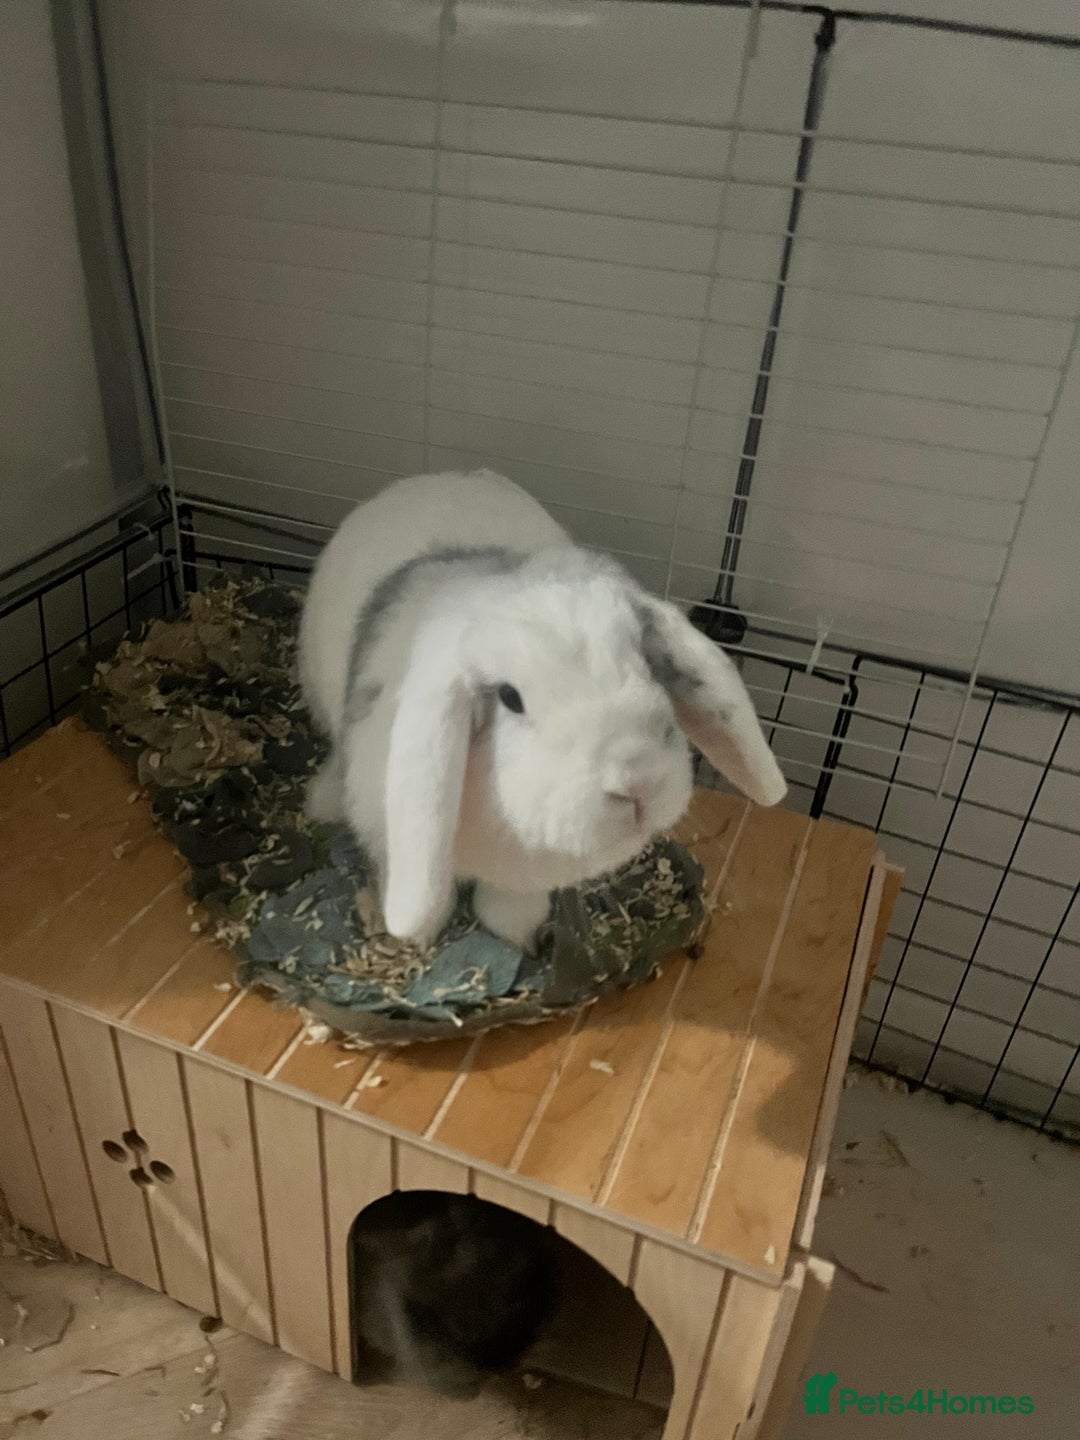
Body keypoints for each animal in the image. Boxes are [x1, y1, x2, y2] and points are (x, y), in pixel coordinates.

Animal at [298, 468, 786, 951]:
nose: (638, 783)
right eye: (510, 698)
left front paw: (521, 938)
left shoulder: (522, 877)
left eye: (649, 665)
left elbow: (508, 905)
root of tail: (438, 475)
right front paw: (417, 940)